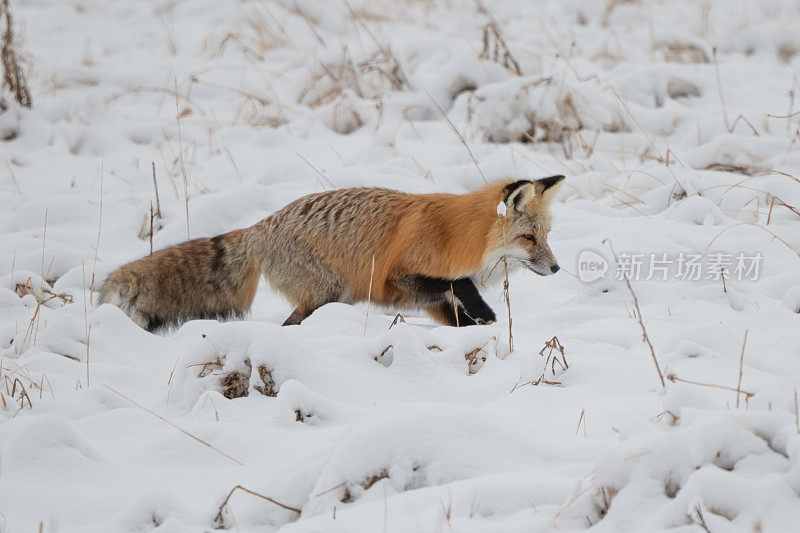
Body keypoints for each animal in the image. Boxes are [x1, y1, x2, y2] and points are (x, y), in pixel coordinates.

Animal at [98, 177, 564, 330]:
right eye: (529, 239)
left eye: (546, 236)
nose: (558, 267)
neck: (463, 236)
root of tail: (260, 226)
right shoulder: (397, 278)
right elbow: (461, 283)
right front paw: (487, 314)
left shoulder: (426, 300)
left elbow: (456, 310)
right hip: (330, 291)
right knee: (290, 325)